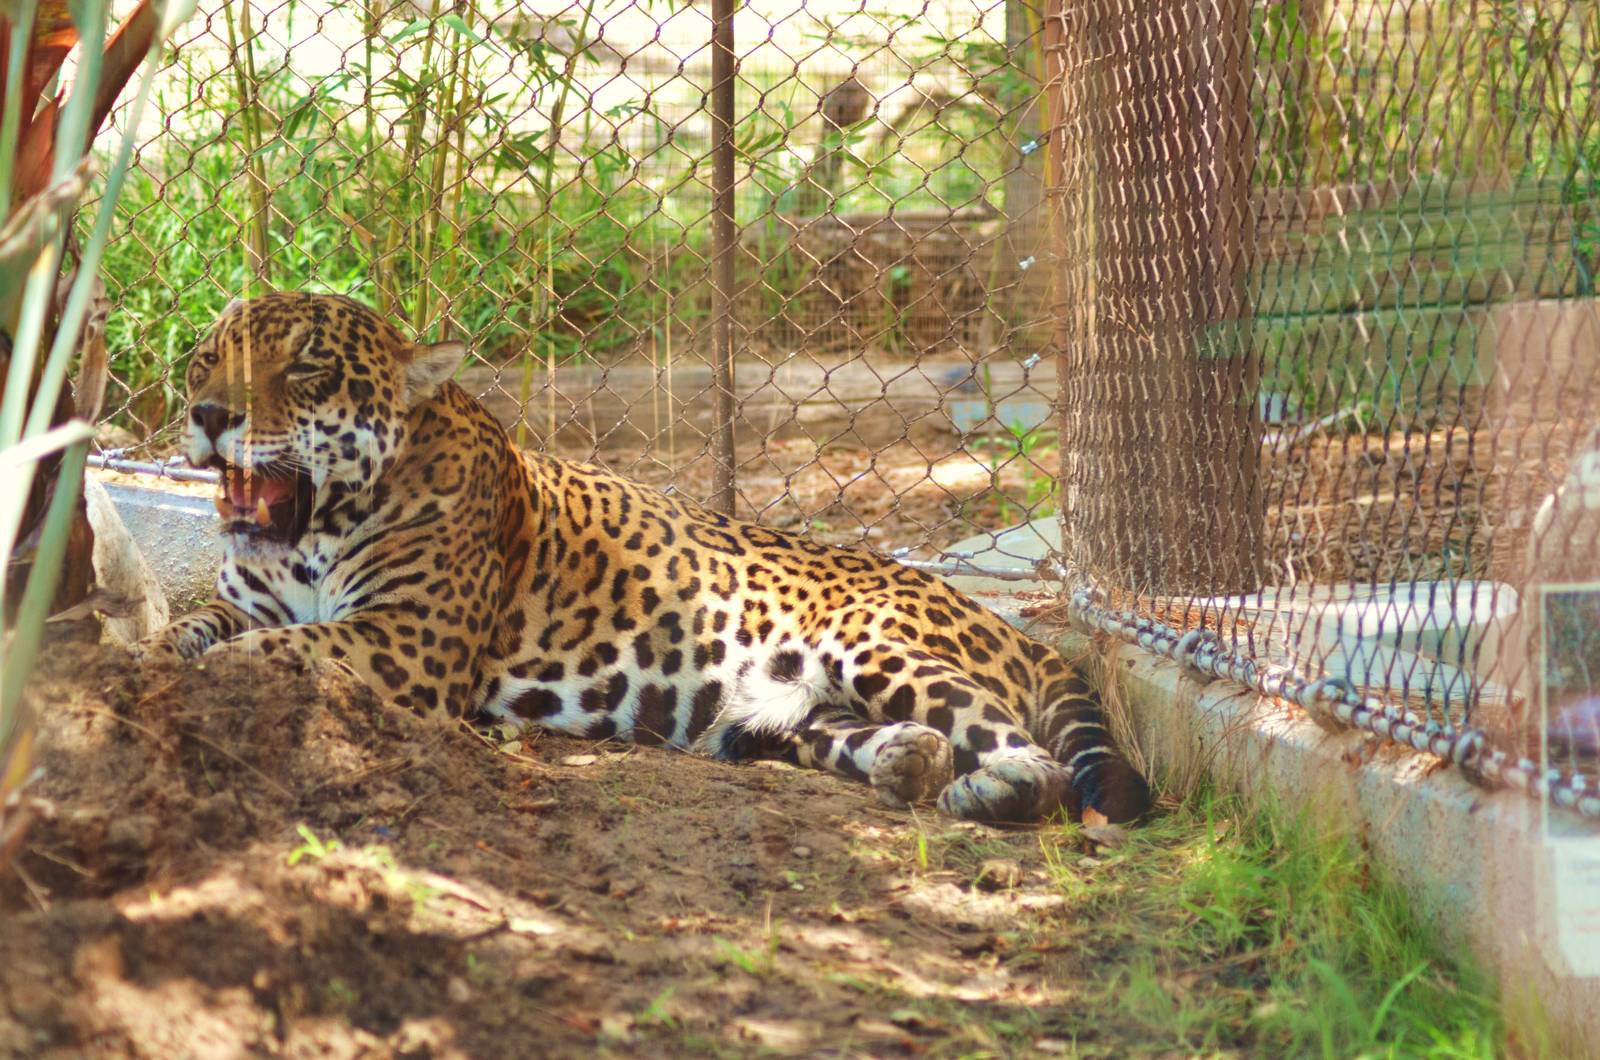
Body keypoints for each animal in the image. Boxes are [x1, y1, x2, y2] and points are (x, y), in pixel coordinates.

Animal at [137, 292, 1152, 825]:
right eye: (205, 359)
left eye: (305, 368)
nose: (209, 413)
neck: (309, 536)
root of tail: (1010, 625)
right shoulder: (249, 600)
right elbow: (197, 625)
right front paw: (149, 655)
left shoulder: (411, 637)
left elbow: (286, 649)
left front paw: (217, 678)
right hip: (788, 704)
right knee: (851, 732)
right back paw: (906, 759)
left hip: (873, 641)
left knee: (1025, 749)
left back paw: (991, 786)